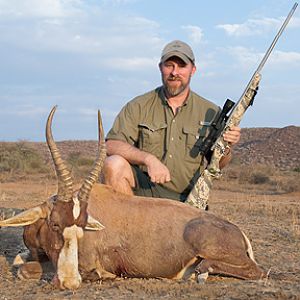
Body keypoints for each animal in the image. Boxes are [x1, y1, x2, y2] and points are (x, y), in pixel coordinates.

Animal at [0, 106, 264, 290]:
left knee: (255, 270)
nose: (70, 282)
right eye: (55, 224)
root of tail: (239, 233)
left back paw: (200, 272)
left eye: (82, 227)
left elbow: (25, 269)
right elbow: (18, 260)